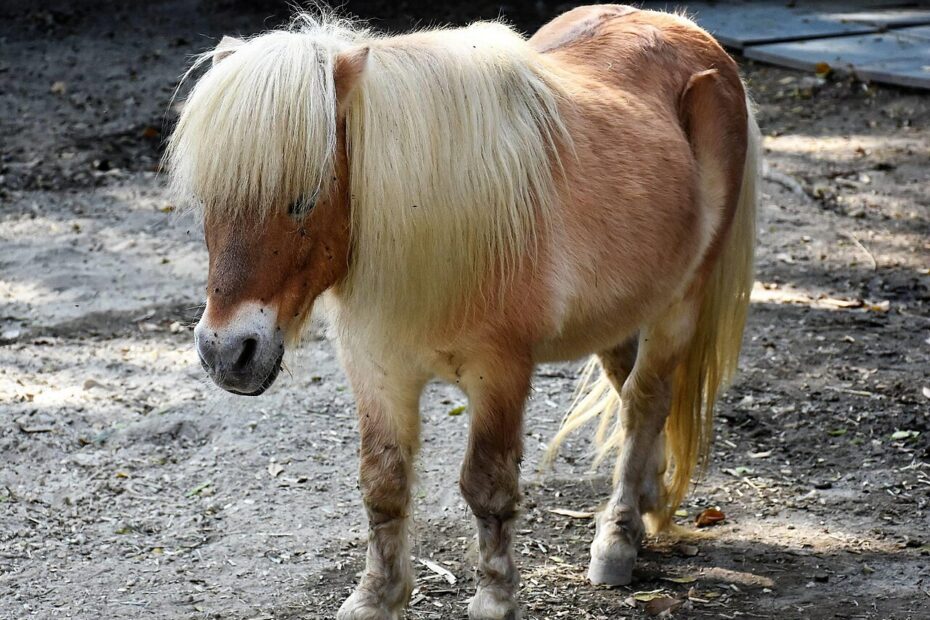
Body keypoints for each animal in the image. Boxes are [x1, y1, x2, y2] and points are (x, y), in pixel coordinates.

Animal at [167, 4, 759, 618]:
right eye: (208, 199)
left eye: (304, 198)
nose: (226, 353)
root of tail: (687, 30)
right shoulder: (377, 369)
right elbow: (382, 482)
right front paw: (377, 596)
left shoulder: (499, 375)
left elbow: (487, 487)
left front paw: (495, 597)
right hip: (620, 314)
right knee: (632, 396)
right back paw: (648, 500)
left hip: (680, 303)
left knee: (644, 403)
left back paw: (617, 539)